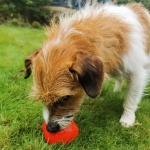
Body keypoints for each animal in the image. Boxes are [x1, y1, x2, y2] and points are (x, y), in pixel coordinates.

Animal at [24, 2, 150, 132]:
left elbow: (131, 98)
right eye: (42, 99)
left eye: (65, 98)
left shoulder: (138, 75)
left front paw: (127, 118)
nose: (50, 128)